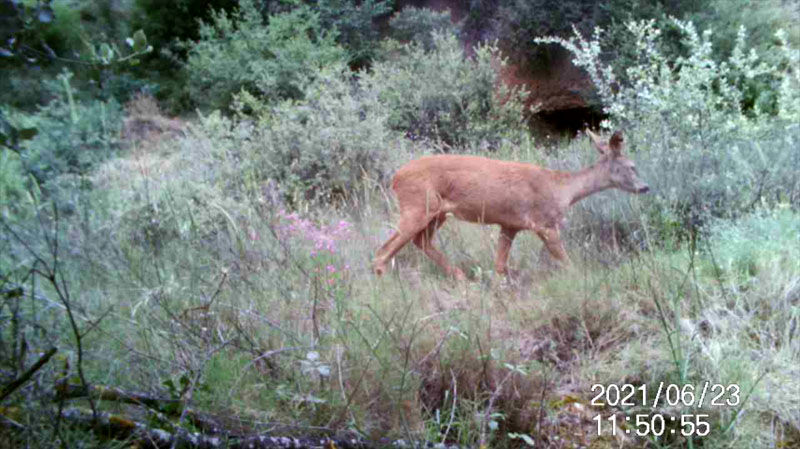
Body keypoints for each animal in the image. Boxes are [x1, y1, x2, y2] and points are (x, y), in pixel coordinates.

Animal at [376, 128, 648, 278]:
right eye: (631, 166)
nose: (645, 187)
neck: (562, 189)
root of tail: (395, 179)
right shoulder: (544, 223)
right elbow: (566, 261)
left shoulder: (510, 225)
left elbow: (499, 266)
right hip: (416, 206)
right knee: (383, 251)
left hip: (437, 213)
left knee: (420, 241)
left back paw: (461, 277)